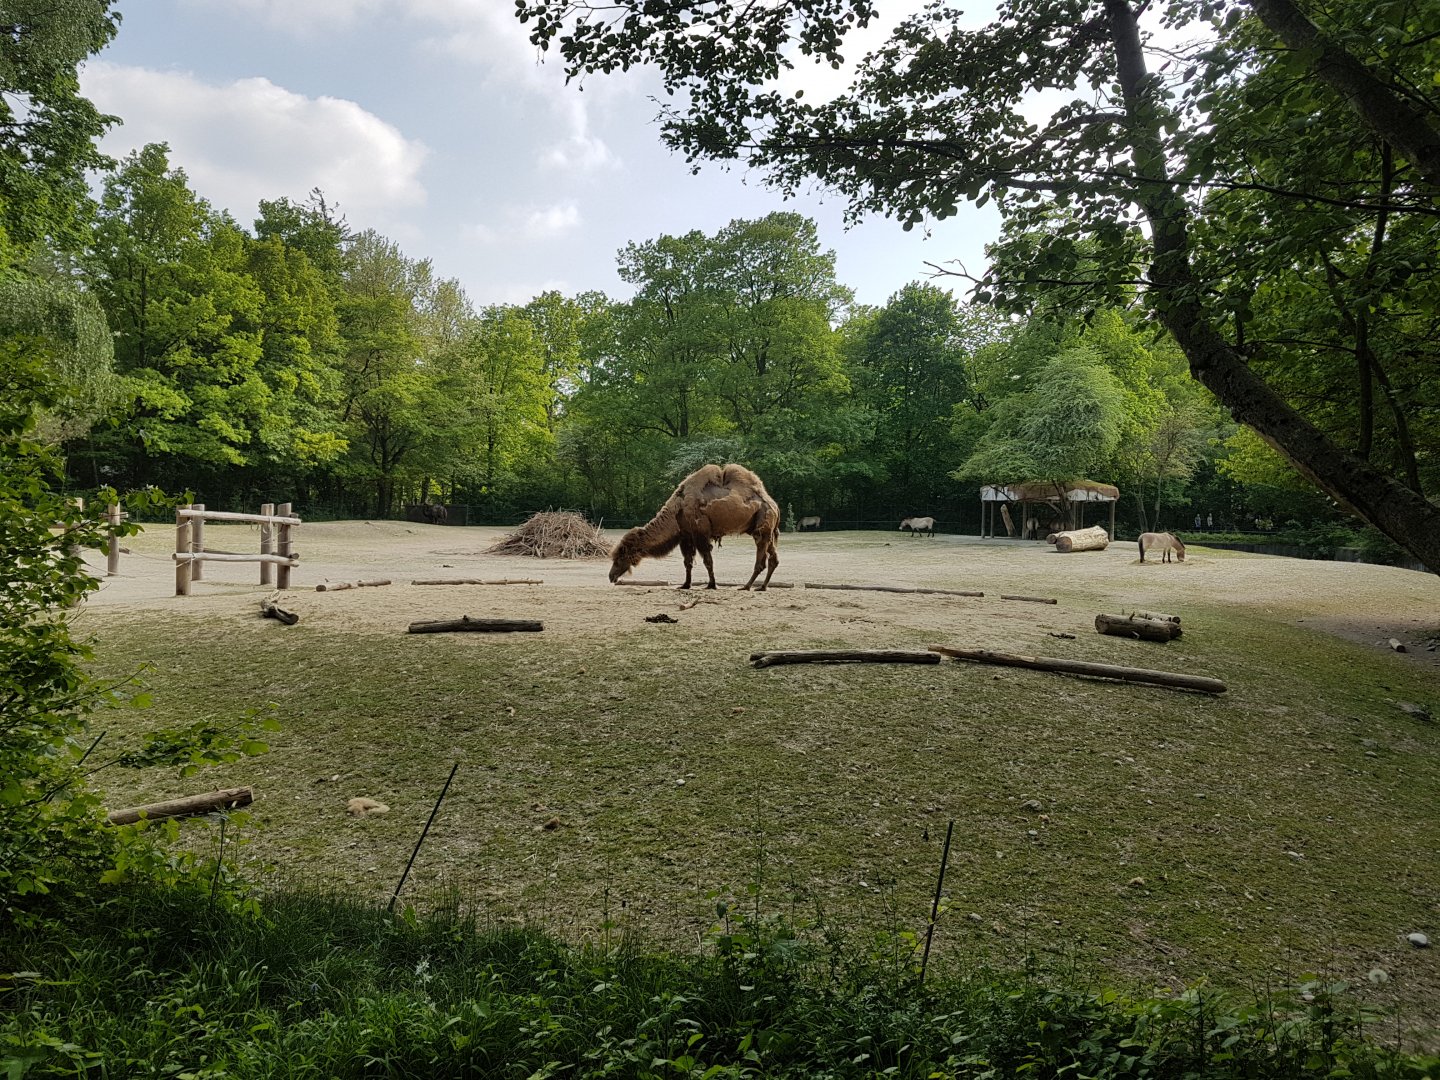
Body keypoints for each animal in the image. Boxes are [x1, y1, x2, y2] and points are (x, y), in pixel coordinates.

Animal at [609, 463, 780, 590]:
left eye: (619, 558)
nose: (611, 576)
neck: (677, 511)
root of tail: (774, 506)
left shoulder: (700, 533)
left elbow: (707, 561)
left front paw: (711, 585)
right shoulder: (686, 536)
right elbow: (688, 562)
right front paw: (685, 585)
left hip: (762, 525)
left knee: (761, 560)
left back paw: (746, 586)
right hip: (767, 531)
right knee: (774, 559)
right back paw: (762, 587)